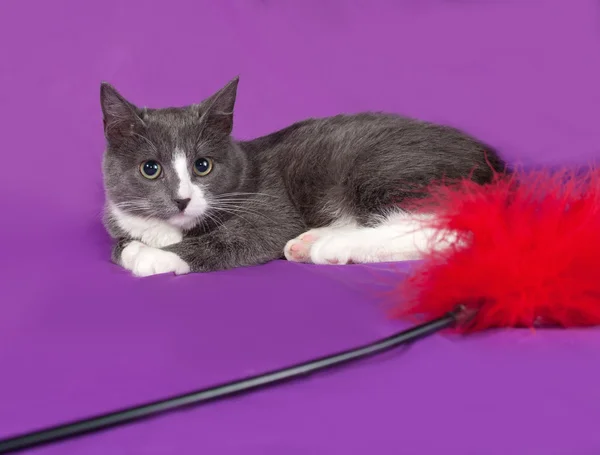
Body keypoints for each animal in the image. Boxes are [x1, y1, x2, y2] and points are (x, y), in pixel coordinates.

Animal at [101, 77, 504, 278]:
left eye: (203, 166)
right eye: (150, 169)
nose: (182, 199)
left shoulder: (269, 204)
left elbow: (243, 237)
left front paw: (151, 255)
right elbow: (120, 240)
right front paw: (133, 246)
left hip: (385, 165)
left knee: (453, 230)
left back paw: (333, 246)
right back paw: (312, 241)